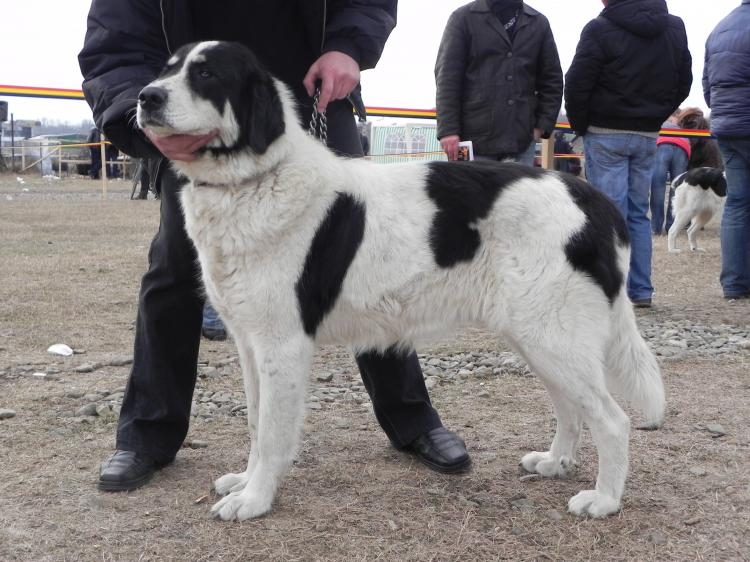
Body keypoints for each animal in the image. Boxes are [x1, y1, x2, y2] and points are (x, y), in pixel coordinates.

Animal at [138, 41, 668, 520]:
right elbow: (253, 422)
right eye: (166, 69)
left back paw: (604, 500)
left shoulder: (282, 345)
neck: (253, 181)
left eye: (206, 75)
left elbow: (270, 433)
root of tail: (591, 198)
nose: (146, 97)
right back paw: (556, 462)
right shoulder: (250, 343)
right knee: (571, 407)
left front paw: (254, 500)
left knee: (613, 421)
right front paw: (247, 482)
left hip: (553, 338)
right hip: (539, 340)